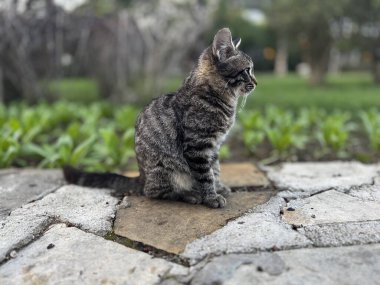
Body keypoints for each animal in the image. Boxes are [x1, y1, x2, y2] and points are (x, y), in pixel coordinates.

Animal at [63, 27, 256, 207]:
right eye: (247, 70)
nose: (256, 82)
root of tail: (141, 176)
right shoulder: (198, 146)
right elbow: (205, 175)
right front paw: (211, 197)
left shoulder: (214, 146)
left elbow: (215, 169)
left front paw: (219, 187)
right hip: (167, 170)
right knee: (155, 192)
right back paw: (189, 195)